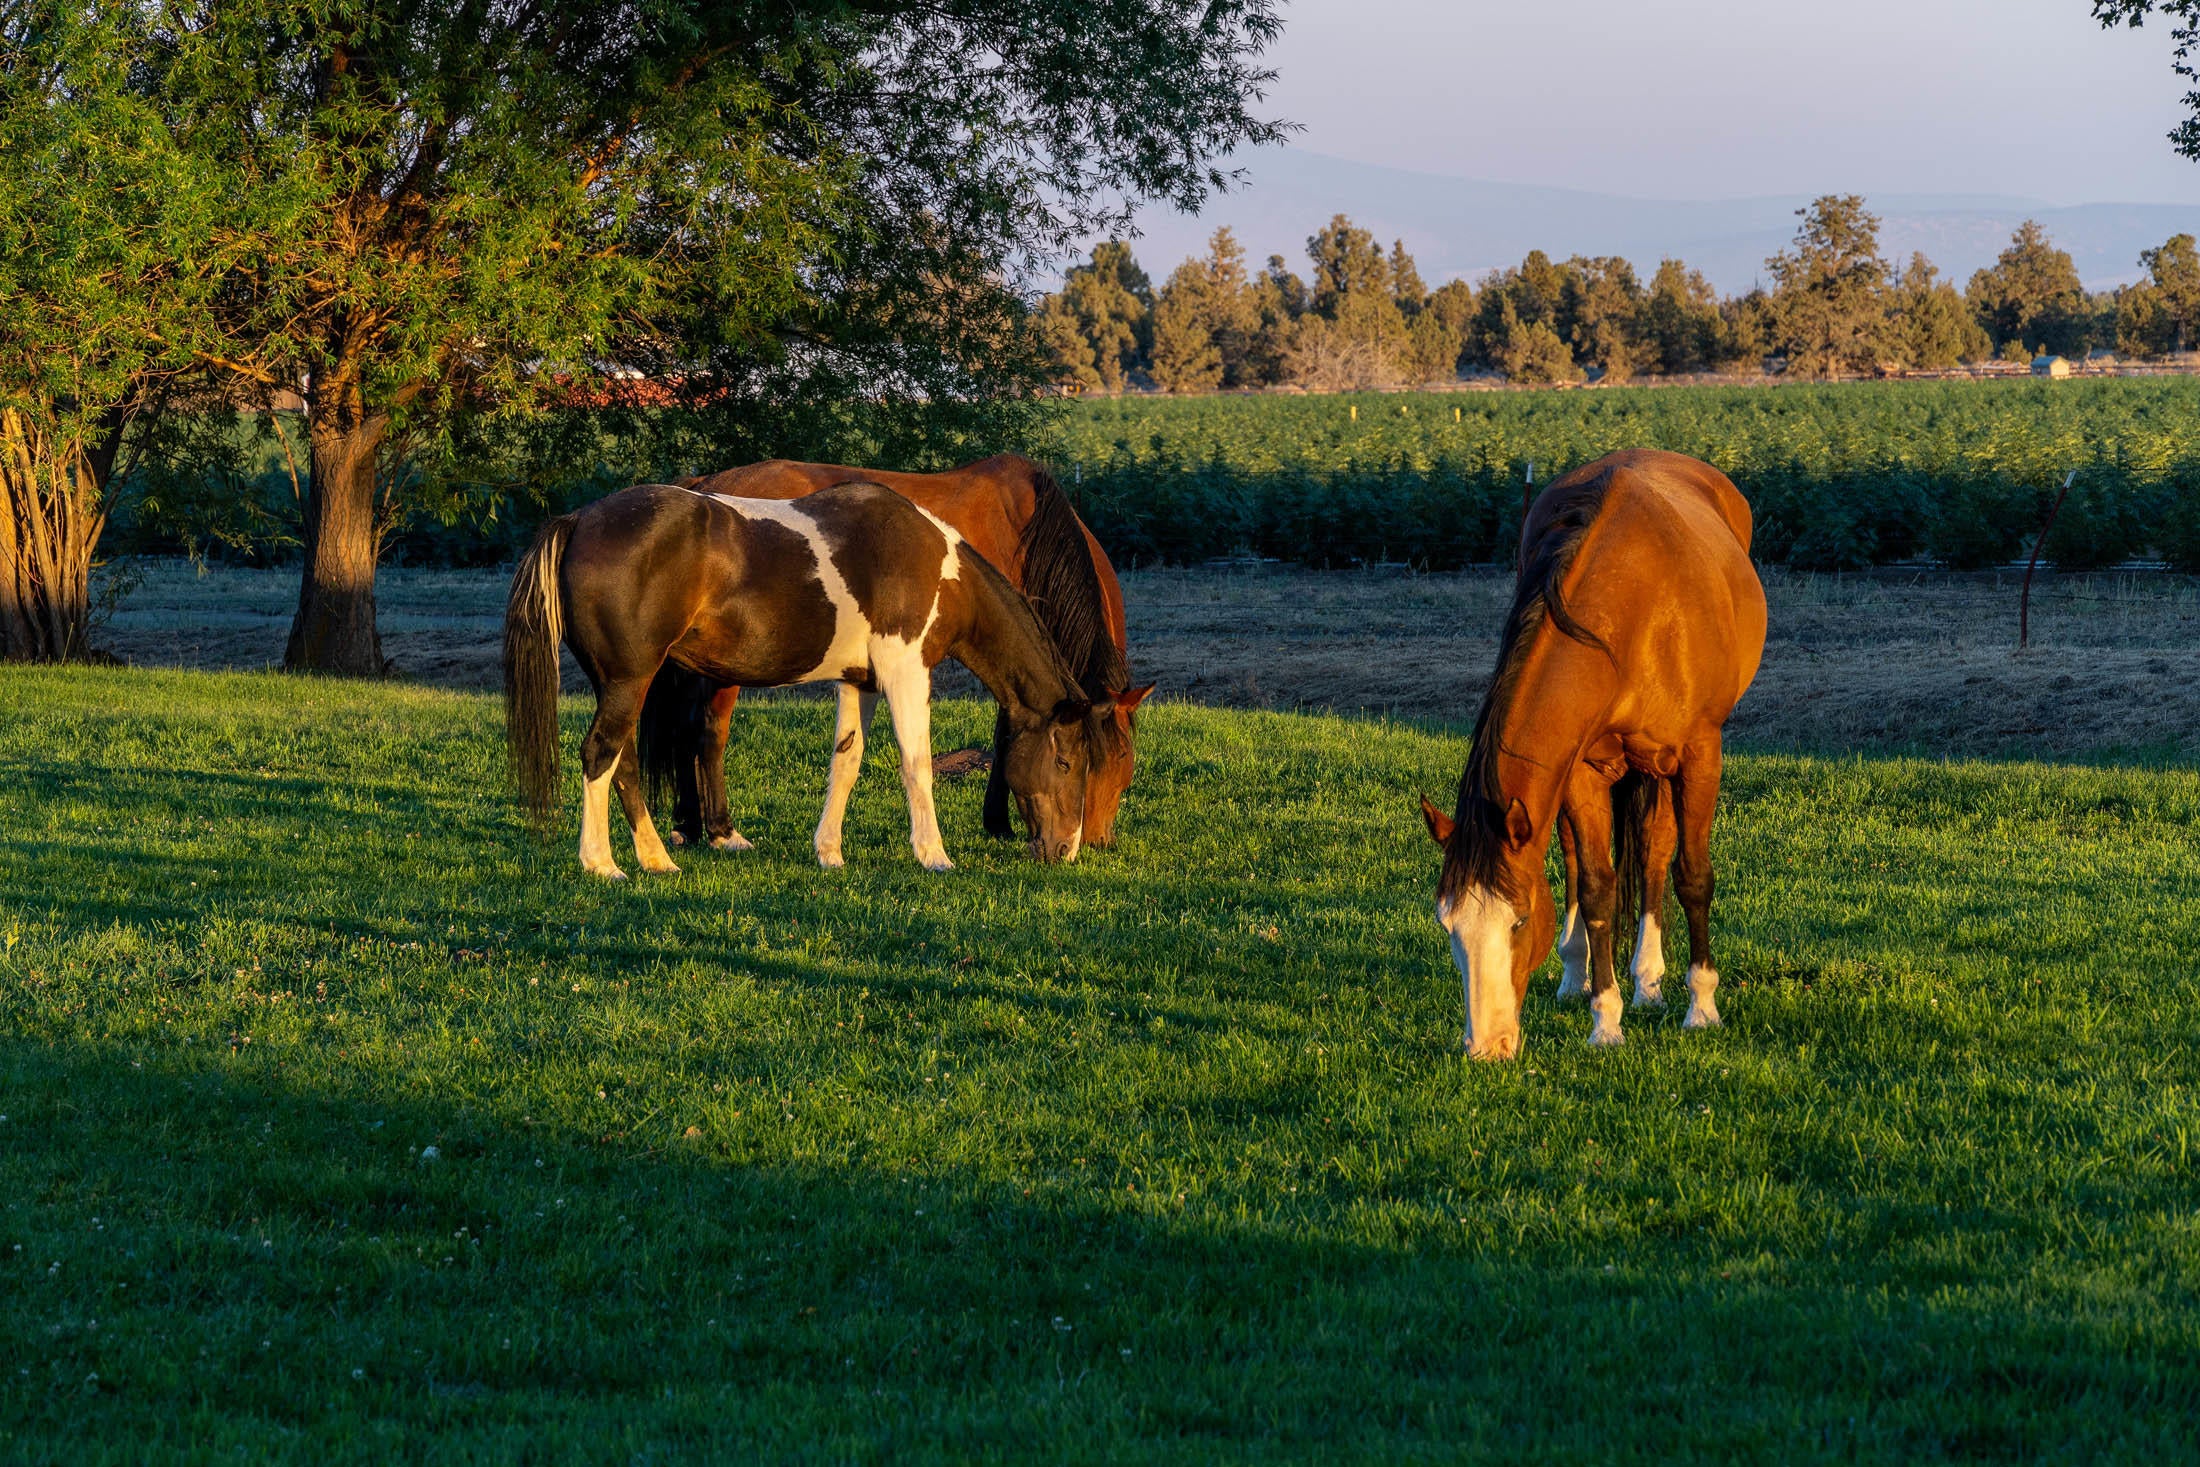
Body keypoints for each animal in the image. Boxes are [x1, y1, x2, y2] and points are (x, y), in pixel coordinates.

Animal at [503, 481, 1115, 878]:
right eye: (1066, 762)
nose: (1066, 850)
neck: (936, 567)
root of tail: (579, 520)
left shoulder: (860, 682)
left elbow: (847, 760)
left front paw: (830, 853)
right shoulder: (906, 671)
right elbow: (916, 763)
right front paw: (933, 855)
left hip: (623, 684)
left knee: (623, 762)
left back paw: (656, 859)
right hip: (631, 679)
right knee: (600, 754)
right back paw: (602, 864)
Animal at [647, 454, 1152, 854]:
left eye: (1122, 766)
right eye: (1082, 764)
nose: (1094, 841)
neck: (1025, 535)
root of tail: (706, 484)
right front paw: (997, 823)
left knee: (684, 728)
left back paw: (688, 824)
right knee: (709, 732)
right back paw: (720, 830)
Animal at [1418, 449, 1765, 1060]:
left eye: (1519, 921)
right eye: (1448, 926)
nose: (1486, 1046)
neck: (1630, 610)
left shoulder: (1699, 752)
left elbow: (1692, 875)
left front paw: (1702, 1008)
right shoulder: (1582, 766)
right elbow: (1597, 886)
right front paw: (1606, 1021)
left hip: (1663, 765)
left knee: (1656, 856)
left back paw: (1651, 980)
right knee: (1582, 862)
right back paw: (1578, 974)